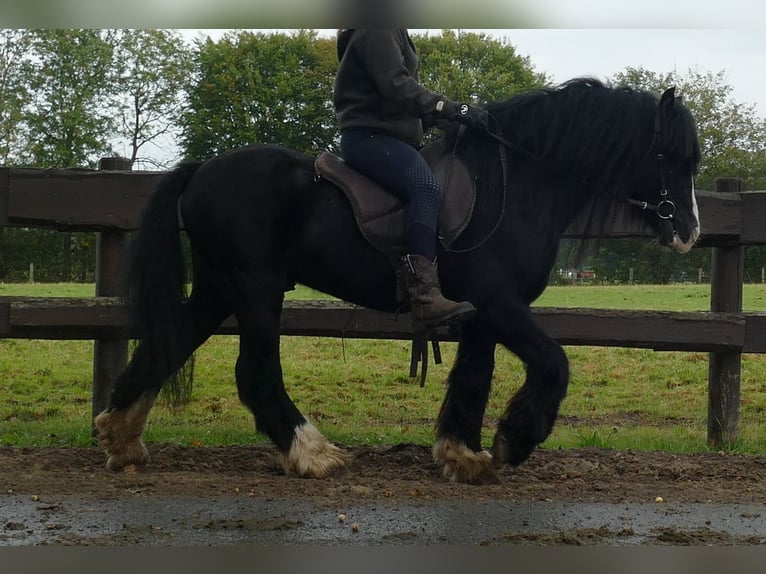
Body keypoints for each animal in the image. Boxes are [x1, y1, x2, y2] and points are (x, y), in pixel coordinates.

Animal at [94, 79, 704, 486]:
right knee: (255, 371)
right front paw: (514, 439)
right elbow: (555, 363)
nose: (689, 232)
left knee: (168, 345)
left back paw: (121, 436)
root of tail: (201, 169)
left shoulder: (480, 314)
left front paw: (463, 454)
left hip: (219, 289)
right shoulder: (500, 303)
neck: (517, 185)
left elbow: (473, 378)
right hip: (256, 289)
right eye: (669, 155)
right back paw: (312, 453)